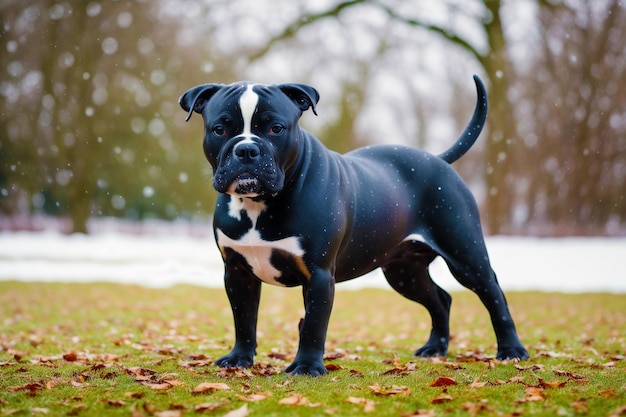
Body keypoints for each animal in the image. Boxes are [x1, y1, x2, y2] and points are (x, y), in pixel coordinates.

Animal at [179, 76, 528, 376]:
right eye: (220, 129)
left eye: (276, 128)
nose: (247, 149)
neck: (258, 204)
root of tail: (438, 159)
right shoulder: (237, 273)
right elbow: (244, 320)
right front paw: (240, 358)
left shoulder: (318, 274)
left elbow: (314, 324)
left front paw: (306, 368)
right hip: (404, 272)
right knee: (440, 299)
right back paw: (435, 349)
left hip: (465, 255)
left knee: (494, 296)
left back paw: (512, 350)